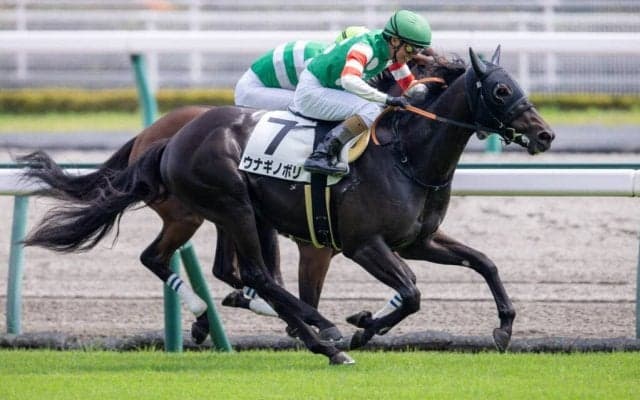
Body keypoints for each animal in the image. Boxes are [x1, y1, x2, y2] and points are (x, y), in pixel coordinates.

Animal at [21, 47, 554, 364]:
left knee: (202, 265)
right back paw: (321, 335)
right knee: (256, 275)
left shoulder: (417, 240)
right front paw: (361, 327)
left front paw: (504, 329)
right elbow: (412, 291)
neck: (407, 153)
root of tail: (169, 138)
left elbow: (483, 262)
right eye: (501, 89)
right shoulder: (361, 244)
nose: (545, 134)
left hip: (232, 215)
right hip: (229, 204)